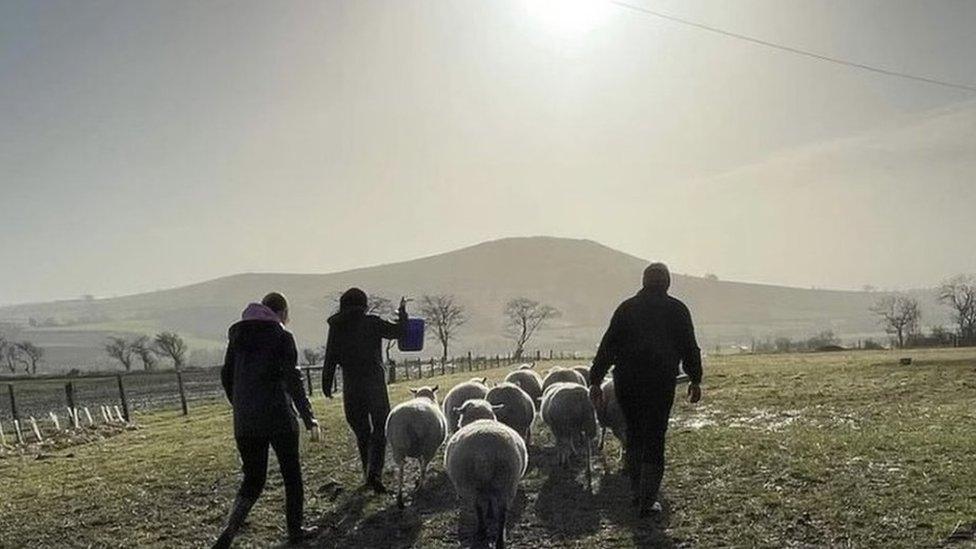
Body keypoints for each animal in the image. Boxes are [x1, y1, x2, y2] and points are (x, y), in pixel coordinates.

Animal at [446, 398, 528, 548]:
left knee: (478, 507)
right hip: (506, 482)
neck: (480, 418)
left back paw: (482, 531)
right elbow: (490, 500)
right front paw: (490, 513)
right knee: (502, 513)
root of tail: (484, 453)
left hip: (471, 485)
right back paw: (500, 539)